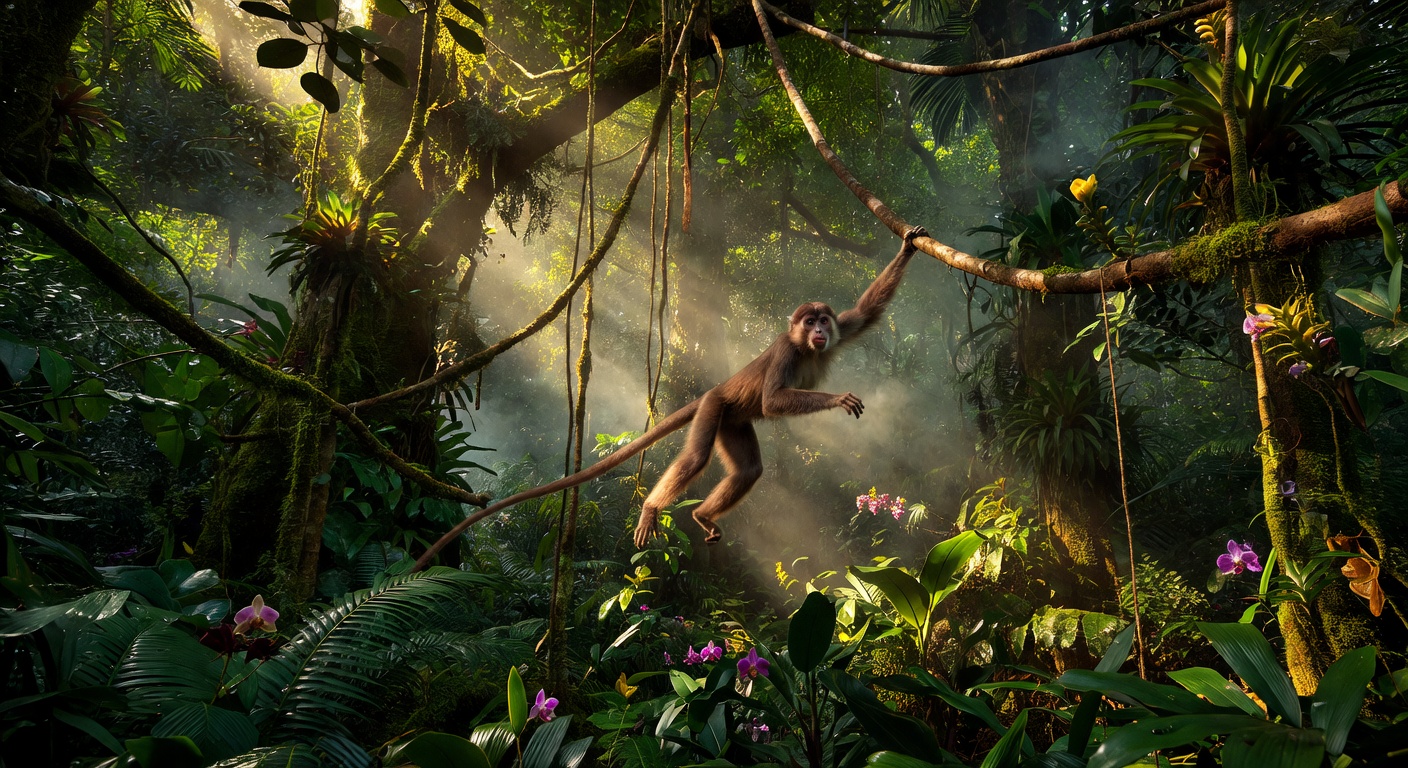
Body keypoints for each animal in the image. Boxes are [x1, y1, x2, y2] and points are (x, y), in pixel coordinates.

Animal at [411, 226, 926, 570]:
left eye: (824, 320)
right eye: (808, 322)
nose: (819, 329)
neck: (806, 350)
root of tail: (714, 391)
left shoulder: (841, 333)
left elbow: (865, 314)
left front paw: (907, 246)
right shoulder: (785, 351)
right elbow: (774, 401)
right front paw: (838, 398)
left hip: (732, 421)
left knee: (747, 468)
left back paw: (701, 514)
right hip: (717, 408)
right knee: (698, 455)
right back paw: (660, 508)